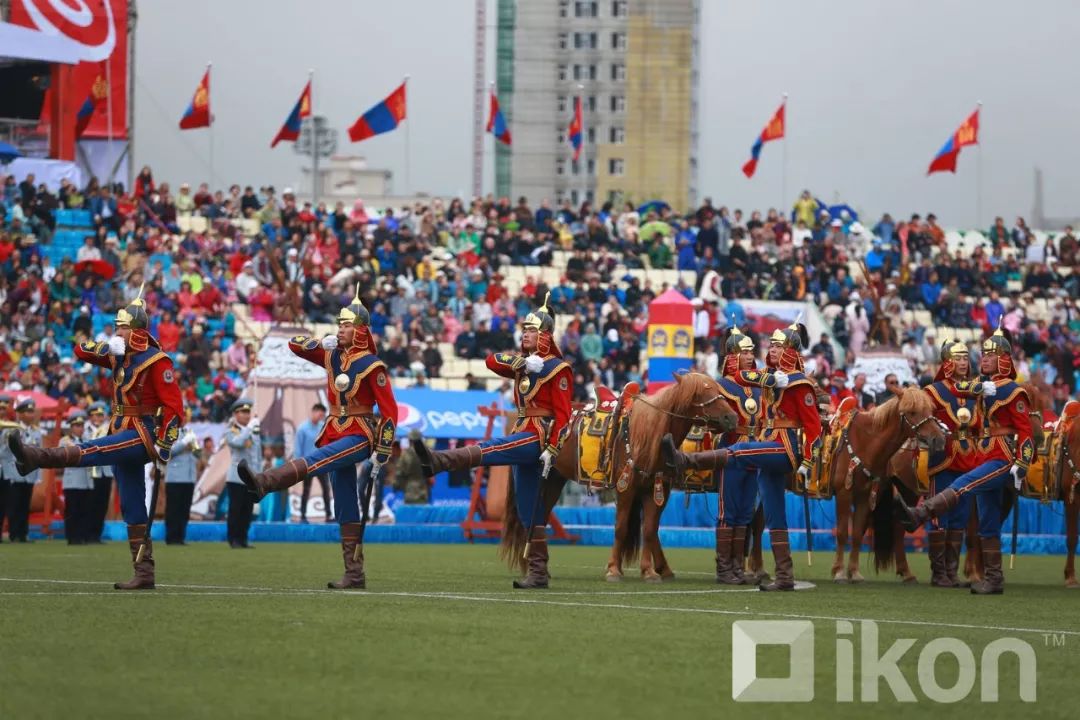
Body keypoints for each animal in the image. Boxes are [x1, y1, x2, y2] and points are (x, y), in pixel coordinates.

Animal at [494, 371, 734, 578]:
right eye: (702, 393)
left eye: (718, 389)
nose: (731, 417)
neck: (647, 435)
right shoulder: (626, 487)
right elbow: (620, 527)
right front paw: (613, 569)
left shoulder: (657, 489)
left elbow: (649, 530)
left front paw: (649, 572)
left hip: (553, 480)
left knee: (538, 520)